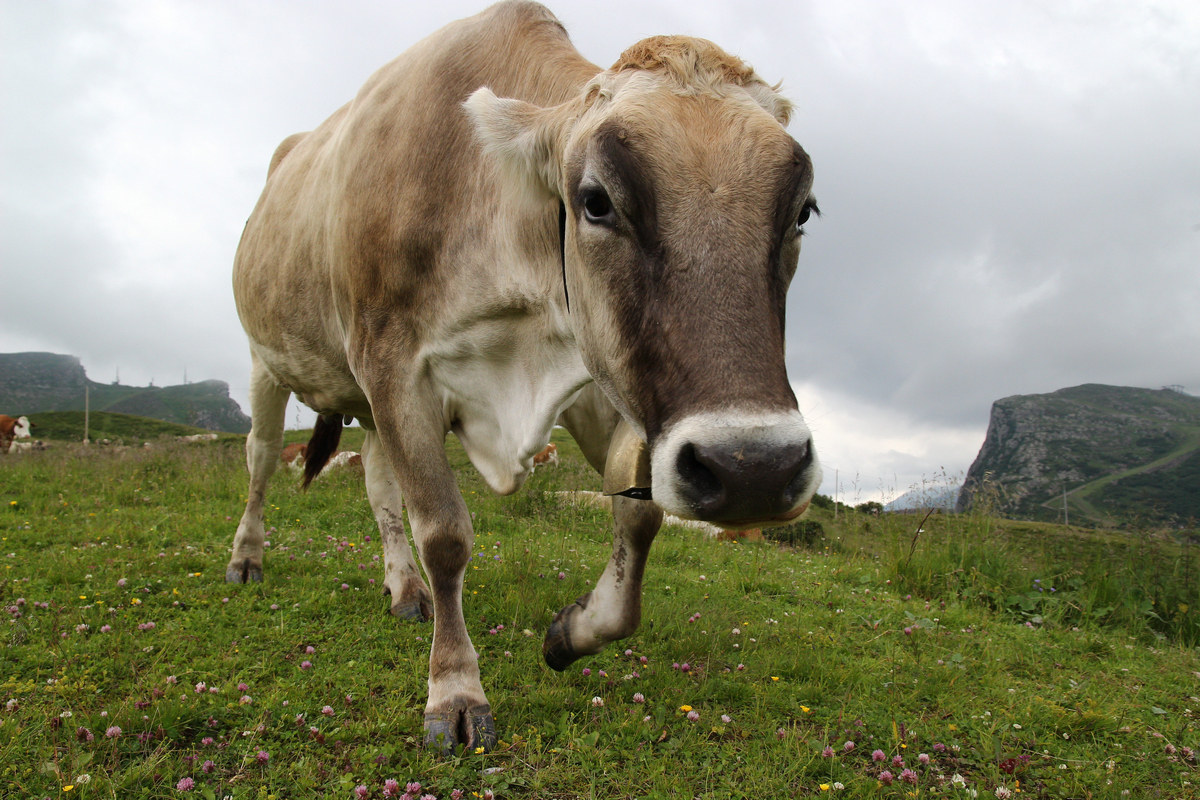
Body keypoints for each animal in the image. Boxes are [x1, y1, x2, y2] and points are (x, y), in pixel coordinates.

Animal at [226, 1, 821, 754]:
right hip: (267, 358)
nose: (755, 471)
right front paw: (455, 692)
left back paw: (405, 590)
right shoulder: (394, 364)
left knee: (378, 482)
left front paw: (571, 632)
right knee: (262, 457)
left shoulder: (601, 381)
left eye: (802, 211)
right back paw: (247, 559)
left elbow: (640, 513)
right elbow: (445, 534)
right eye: (596, 201)